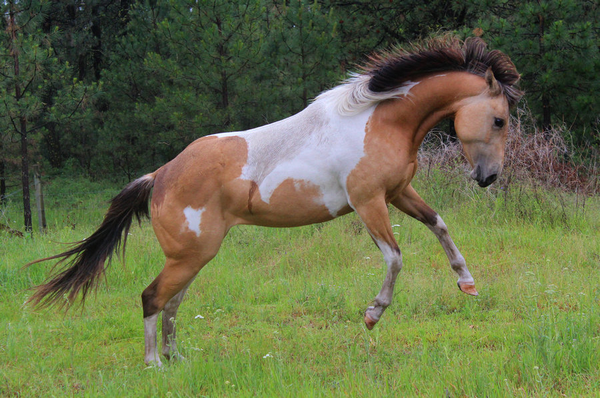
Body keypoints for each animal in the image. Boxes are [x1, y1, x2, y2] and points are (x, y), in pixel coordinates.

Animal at [30, 35, 524, 366]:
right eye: (499, 120)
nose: (488, 178)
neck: (379, 120)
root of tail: (160, 175)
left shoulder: (399, 192)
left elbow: (438, 224)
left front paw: (467, 283)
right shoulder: (369, 202)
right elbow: (395, 257)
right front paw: (372, 315)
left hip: (193, 257)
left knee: (171, 302)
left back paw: (176, 359)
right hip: (190, 255)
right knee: (152, 298)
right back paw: (154, 365)